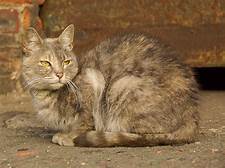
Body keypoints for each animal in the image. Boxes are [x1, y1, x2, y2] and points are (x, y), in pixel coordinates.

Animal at [22, 24, 199, 146]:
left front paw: (68, 136)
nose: (59, 74)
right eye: (45, 63)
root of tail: (192, 115)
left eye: (66, 62)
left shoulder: (93, 82)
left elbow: (84, 122)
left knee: (149, 135)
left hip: (121, 87)